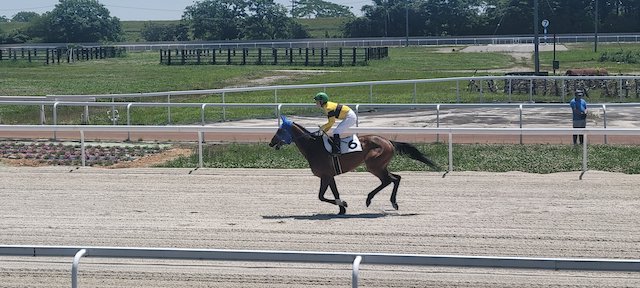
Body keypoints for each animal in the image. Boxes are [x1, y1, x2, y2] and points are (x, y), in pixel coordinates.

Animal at [268, 116, 438, 215]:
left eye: (280, 130)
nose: (271, 143)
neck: (313, 146)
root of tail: (389, 141)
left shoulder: (325, 176)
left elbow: (321, 196)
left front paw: (343, 204)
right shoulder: (330, 176)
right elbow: (334, 193)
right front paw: (341, 208)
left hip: (373, 165)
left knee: (389, 180)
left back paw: (370, 199)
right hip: (381, 166)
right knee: (396, 178)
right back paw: (393, 202)